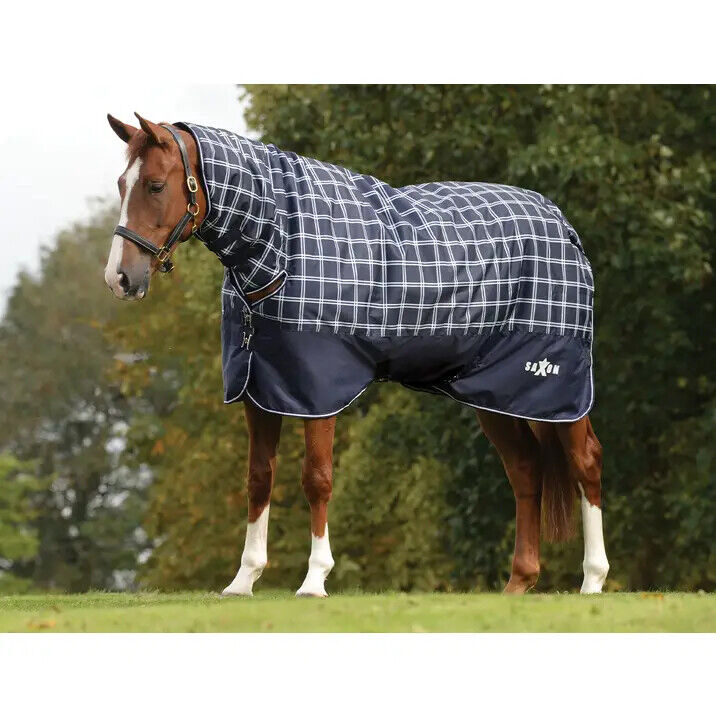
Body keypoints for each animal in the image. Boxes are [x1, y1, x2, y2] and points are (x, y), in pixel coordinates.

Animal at [104, 112, 609, 597]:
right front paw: (243, 581)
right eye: (121, 184)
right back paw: (519, 582)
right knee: (525, 470)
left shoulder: (318, 390)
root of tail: (562, 225)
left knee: (585, 462)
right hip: (494, 393)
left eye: (155, 185)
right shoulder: (259, 388)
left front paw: (314, 580)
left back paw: (592, 580)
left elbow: (317, 478)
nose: (119, 278)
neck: (280, 241)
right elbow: (259, 479)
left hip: (555, 388)